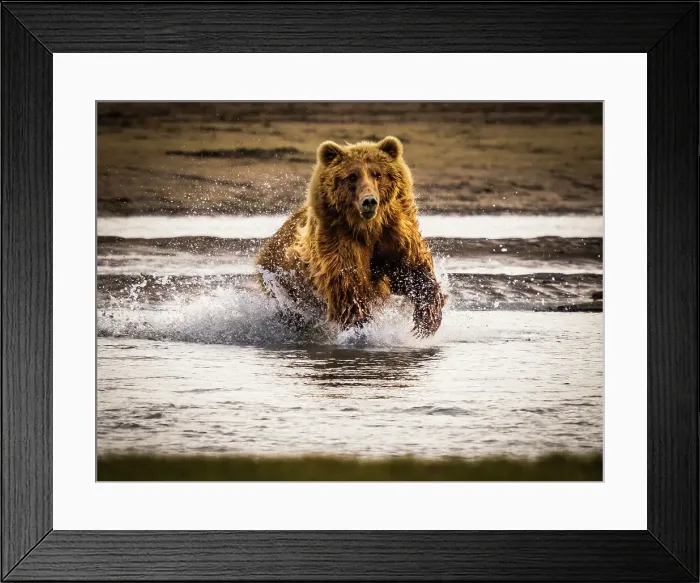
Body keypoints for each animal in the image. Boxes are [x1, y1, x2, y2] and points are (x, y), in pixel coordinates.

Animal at [255, 136, 446, 337]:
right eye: (352, 176)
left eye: (378, 174)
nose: (369, 201)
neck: (368, 228)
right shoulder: (340, 241)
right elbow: (349, 286)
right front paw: (362, 327)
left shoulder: (394, 232)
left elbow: (413, 268)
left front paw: (426, 321)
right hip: (281, 283)